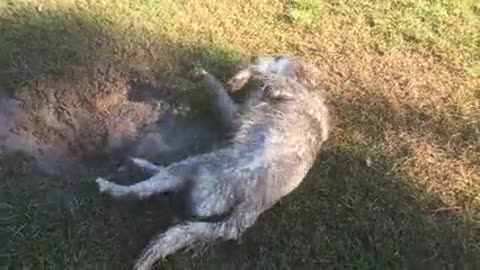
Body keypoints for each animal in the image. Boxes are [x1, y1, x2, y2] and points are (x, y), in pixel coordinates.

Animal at [96, 53, 332, 268]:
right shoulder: (237, 112)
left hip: (193, 167)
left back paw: (111, 184)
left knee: (139, 190)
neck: (306, 89)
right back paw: (137, 164)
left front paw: (227, 77)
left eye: (284, 58)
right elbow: (222, 89)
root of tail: (245, 211)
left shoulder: (280, 86)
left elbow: (257, 71)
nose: (278, 55)